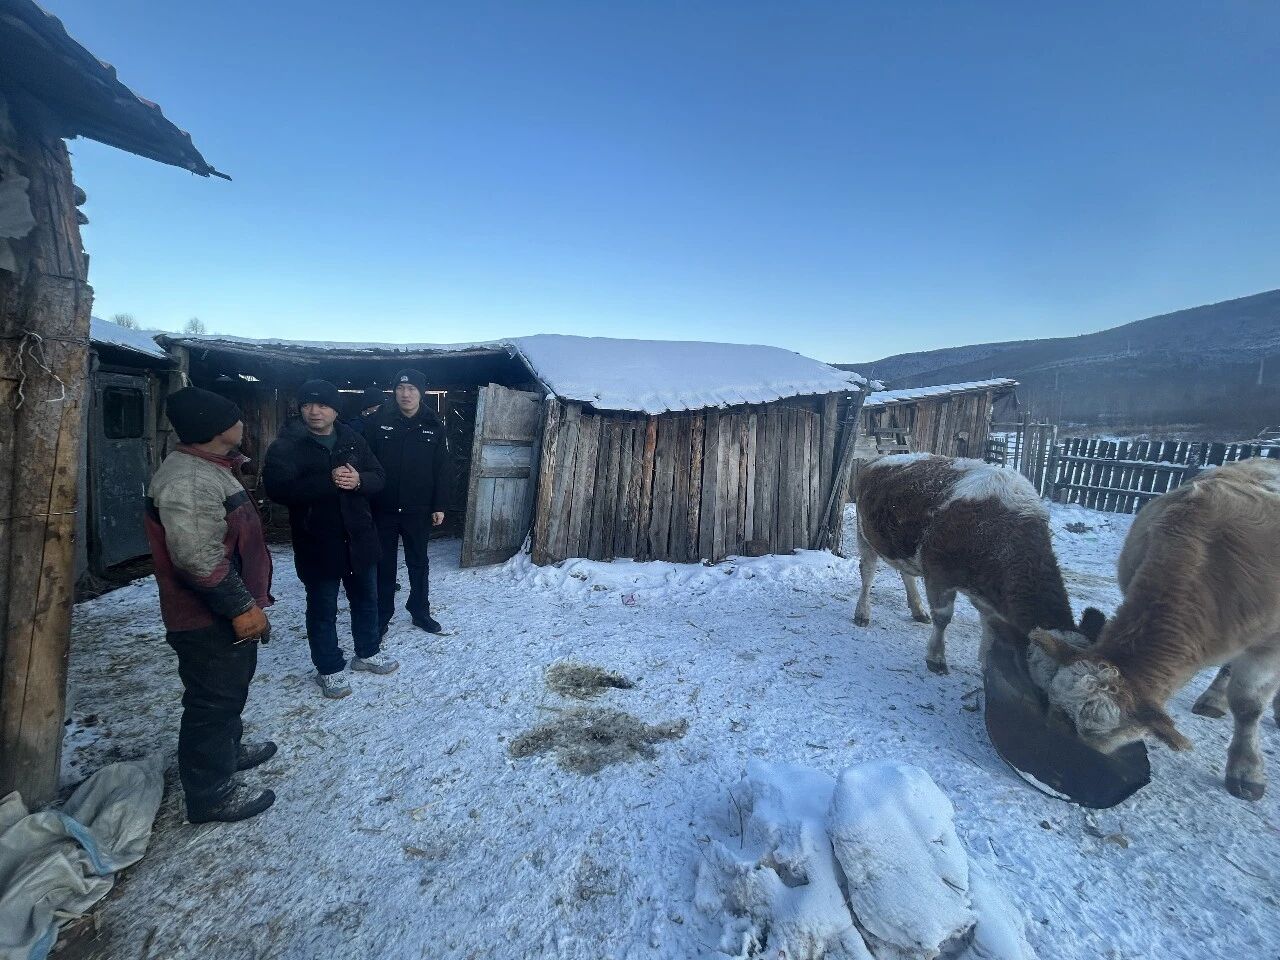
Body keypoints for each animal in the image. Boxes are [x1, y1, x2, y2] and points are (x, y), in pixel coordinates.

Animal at [852, 453, 1092, 676]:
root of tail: (877, 459)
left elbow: (990, 627)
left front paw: (987, 664)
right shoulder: (939, 574)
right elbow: (943, 618)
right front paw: (936, 658)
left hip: (901, 546)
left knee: (906, 574)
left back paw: (918, 611)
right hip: (864, 536)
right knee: (868, 574)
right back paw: (862, 613)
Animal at [1031, 457, 1280, 801]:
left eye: (1091, 732)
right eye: (1053, 705)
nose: (1053, 757)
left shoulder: (1269, 646)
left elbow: (1248, 706)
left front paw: (1247, 771)